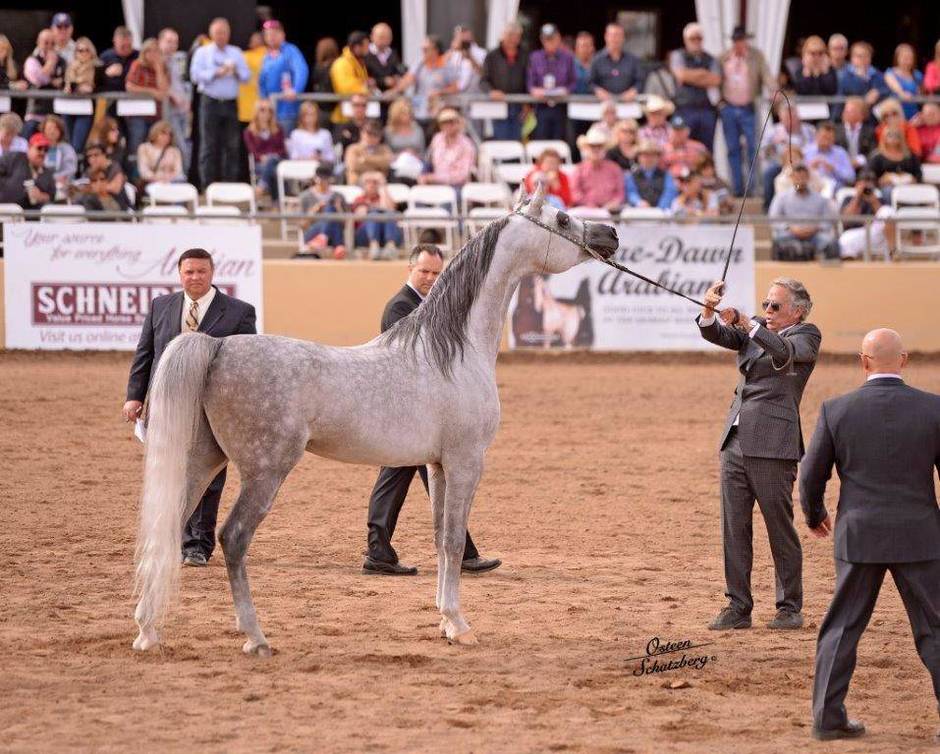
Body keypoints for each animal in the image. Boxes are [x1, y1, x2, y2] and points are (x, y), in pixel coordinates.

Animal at [133, 182, 619, 656]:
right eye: (561, 218)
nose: (611, 234)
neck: (453, 351)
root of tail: (217, 347)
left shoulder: (438, 466)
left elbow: (441, 538)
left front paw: (446, 621)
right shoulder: (466, 462)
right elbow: (454, 539)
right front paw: (461, 626)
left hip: (202, 459)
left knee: (167, 526)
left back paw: (147, 631)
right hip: (265, 470)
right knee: (233, 538)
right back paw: (255, 637)